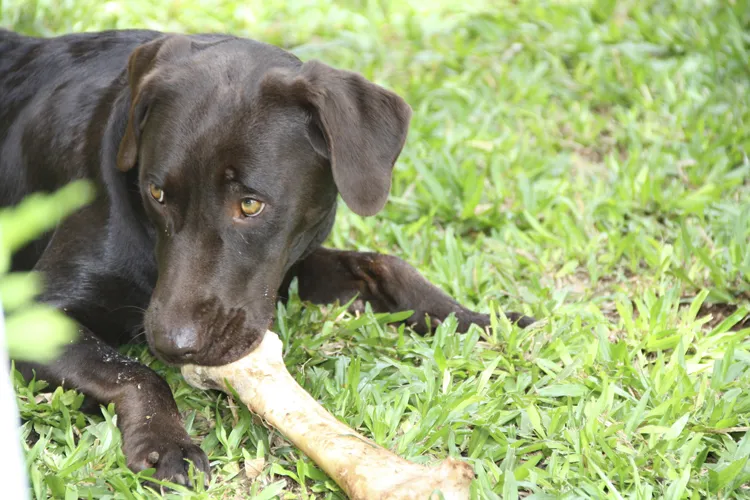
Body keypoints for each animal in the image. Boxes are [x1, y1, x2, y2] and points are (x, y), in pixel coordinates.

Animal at [0, 28, 536, 484]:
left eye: (251, 204)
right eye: (157, 194)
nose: (172, 344)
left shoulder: (293, 264)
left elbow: (386, 264)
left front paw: (480, 320)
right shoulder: (29, 315)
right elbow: (134, 372)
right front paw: (165, 441)